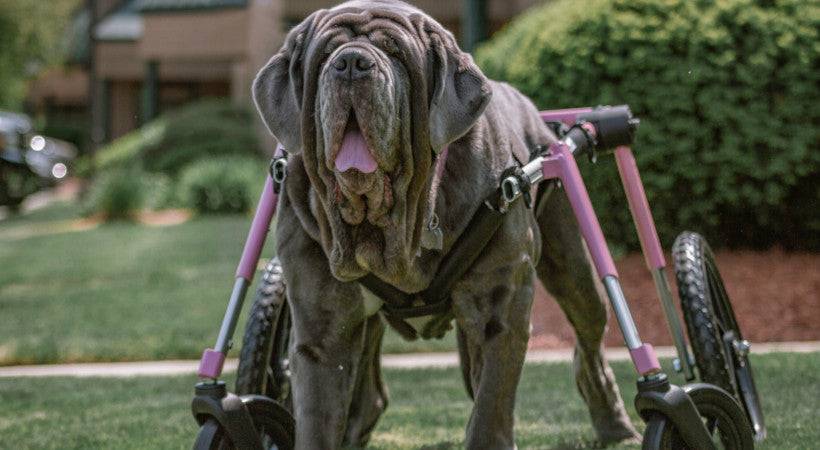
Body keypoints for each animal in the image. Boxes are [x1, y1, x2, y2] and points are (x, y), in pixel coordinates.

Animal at [255, 0, 640, 446]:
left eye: (396, 53)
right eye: (326, 55)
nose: (351, 63)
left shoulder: (501, 304)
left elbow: (491, 404)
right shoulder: (320, 326)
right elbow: (317, 414)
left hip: (575, 267)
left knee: (590, 344)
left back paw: (618, 428)